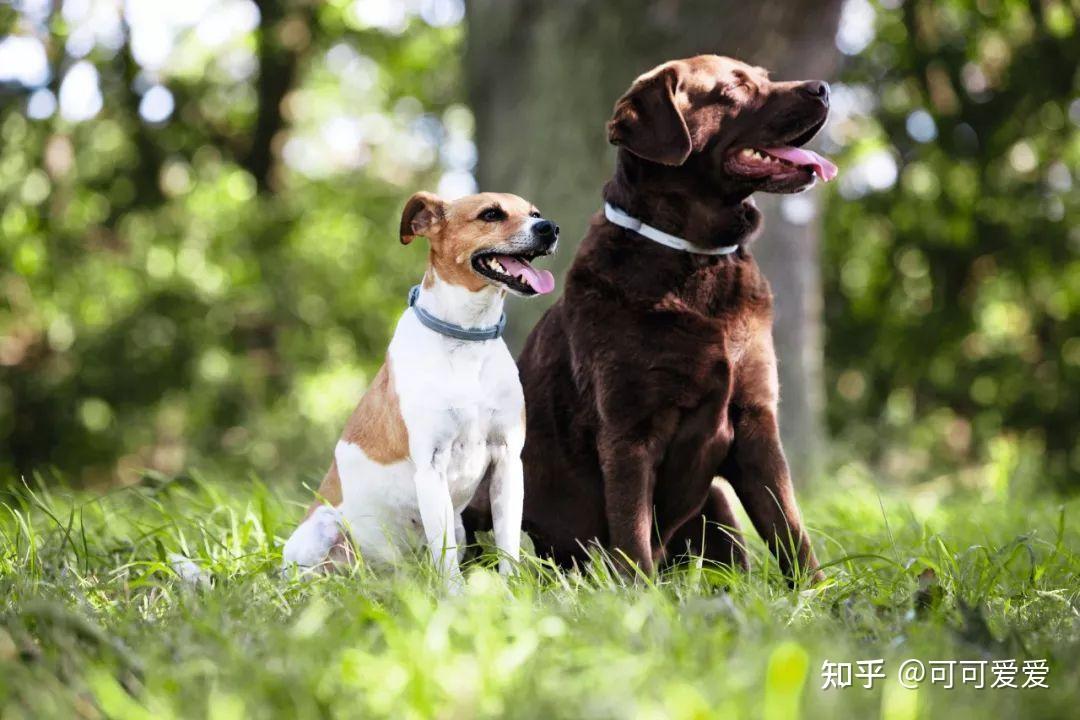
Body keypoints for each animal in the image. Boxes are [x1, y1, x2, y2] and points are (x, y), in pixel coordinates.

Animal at [282, 189, 557, 587]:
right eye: (490, 214)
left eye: (535, 213)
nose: (549, 228)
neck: (466, 339)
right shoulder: (431, 466)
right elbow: (447, 560)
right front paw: (456, 598)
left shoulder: (507, 460)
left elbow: (507, 545)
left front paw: (510, 593)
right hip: (320, 532)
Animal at [505, 57, 833, 587]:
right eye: (734, 89)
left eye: (762, 76)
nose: (823, 88)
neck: (694, 257)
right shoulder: (629, 433)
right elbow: (632, 535)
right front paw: (639, 600)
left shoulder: (756, 421)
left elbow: (791, 529)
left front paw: (819, 598)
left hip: (717, 505)